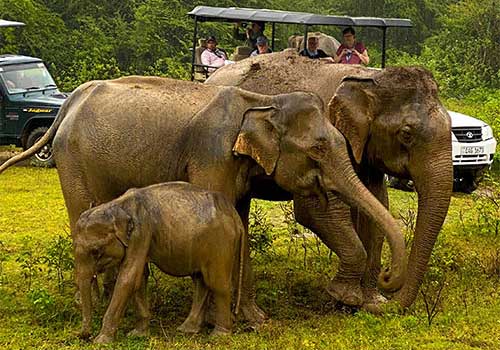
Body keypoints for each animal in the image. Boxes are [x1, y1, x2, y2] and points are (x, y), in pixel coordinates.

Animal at [0, 76, 406, 326]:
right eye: (319, 149)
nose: (387, 278)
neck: (263, 103)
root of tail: (68, 103)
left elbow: (237, 222)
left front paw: (254, 320)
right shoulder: (212, 155)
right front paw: (218, 321)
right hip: (73, 161)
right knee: (82, 215)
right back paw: (98, 304)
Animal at [73, 182, 244, 344]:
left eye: (96, 251)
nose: (84, 336)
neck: (117, 204)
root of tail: (235, 216)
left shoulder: (141, 232)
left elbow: (129, 279)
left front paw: (101, 341)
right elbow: (140, 278)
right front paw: (137, 334)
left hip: (221, 243)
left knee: (217, 284)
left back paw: (219, 335)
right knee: (200, 281)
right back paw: (186, 329)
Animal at [207, 50, 454, 310]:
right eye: (406, 134)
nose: (387, 277)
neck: (369, 78)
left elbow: (377, 206)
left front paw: (370, 302)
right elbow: (316, 211)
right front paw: (346, 298)